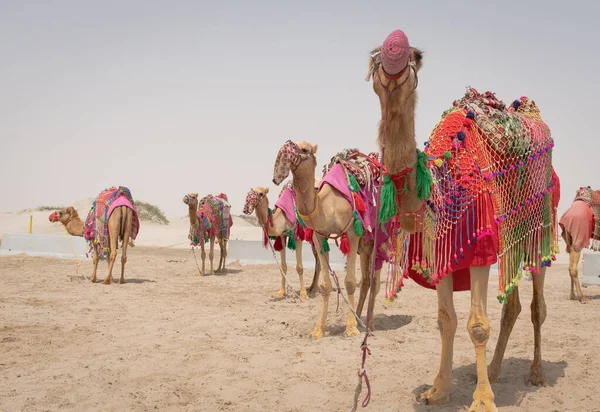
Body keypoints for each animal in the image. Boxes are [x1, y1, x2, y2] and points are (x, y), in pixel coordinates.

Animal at [270, 139, 390, 338]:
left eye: (304, 149)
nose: (279, 171)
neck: (327, 206)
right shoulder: (319, 236)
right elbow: (326, 285)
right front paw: (319, 329)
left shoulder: (353, 233)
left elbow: (350, 282)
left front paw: (350, 328)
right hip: (365, 243)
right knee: (366, 280)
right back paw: (359, 318)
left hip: (378, 236)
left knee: (374, 280)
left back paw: (369, 325)